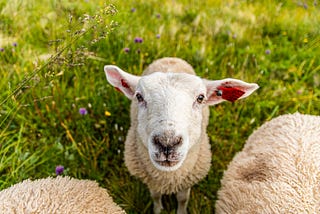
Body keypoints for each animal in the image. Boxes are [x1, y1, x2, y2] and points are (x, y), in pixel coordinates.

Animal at [104, 57, 258, 214]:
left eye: (200, 98)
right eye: (139, 97)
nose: (167, 143)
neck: (168, 178)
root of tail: (170, 58)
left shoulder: (186, 180)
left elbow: (183, 199)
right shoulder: (152, 181)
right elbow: (155, 196)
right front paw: (158, 210)